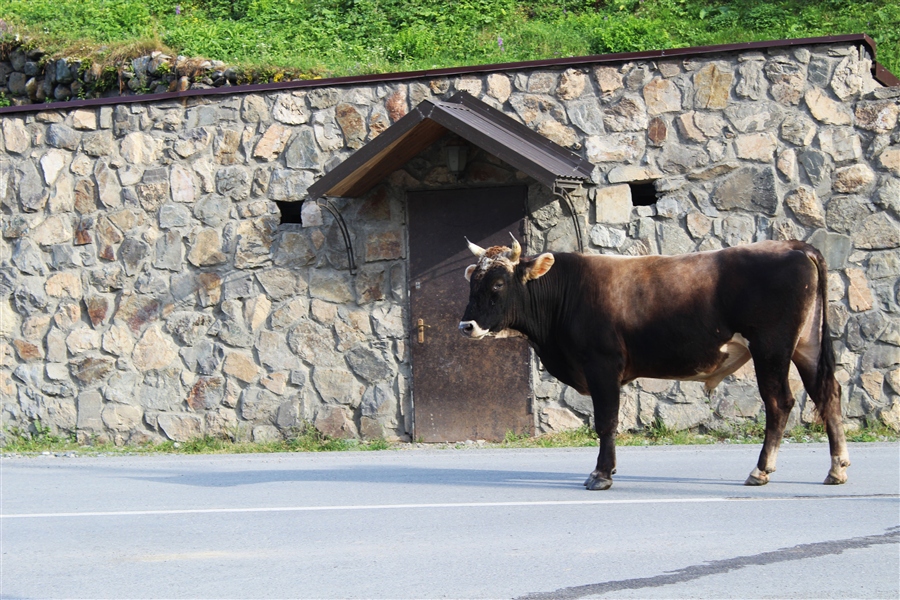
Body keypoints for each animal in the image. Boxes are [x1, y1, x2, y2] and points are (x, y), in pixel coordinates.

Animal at [460, 237, 848, 490]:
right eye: (473, 281)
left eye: (498, 283)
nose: (467, 326)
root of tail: (794, 245)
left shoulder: (602, 366)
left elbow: (606, 422)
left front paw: (601, 475)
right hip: (806, 346)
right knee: (828, 394)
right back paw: (837, 469)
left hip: (771, 348)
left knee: (779, 402)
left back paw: (761, 471)